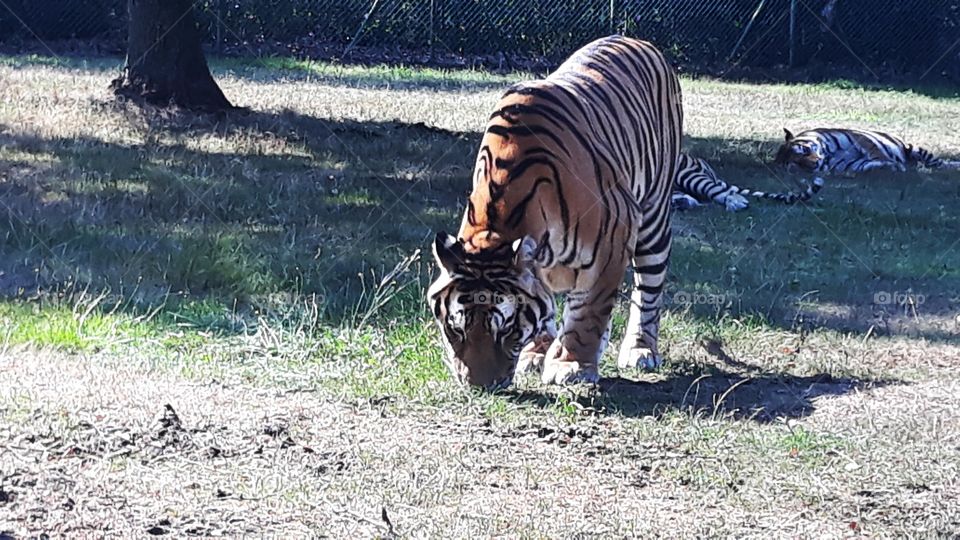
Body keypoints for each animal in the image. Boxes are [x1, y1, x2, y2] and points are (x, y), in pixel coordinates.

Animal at [427, 35, 682, 389]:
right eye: (456, 328)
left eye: (504, 329)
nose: (480, 386)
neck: (496, 225)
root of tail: (636, 39)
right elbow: (548, 307)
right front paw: (537, 353)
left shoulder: (614, 237)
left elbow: (589, 311)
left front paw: (571, 364)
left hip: (653, 219)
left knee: (648, 290)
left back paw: (640, 349)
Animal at [774, 127, 960, 174]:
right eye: (797, 164)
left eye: (805, 150)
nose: (813, 164)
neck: (828, 156)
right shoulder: (852, 165)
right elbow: (870, 165)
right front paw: (894, 167)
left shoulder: (860, 140)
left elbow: (876, 151)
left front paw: (896, 165)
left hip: (914, 150)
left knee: (938, 163)